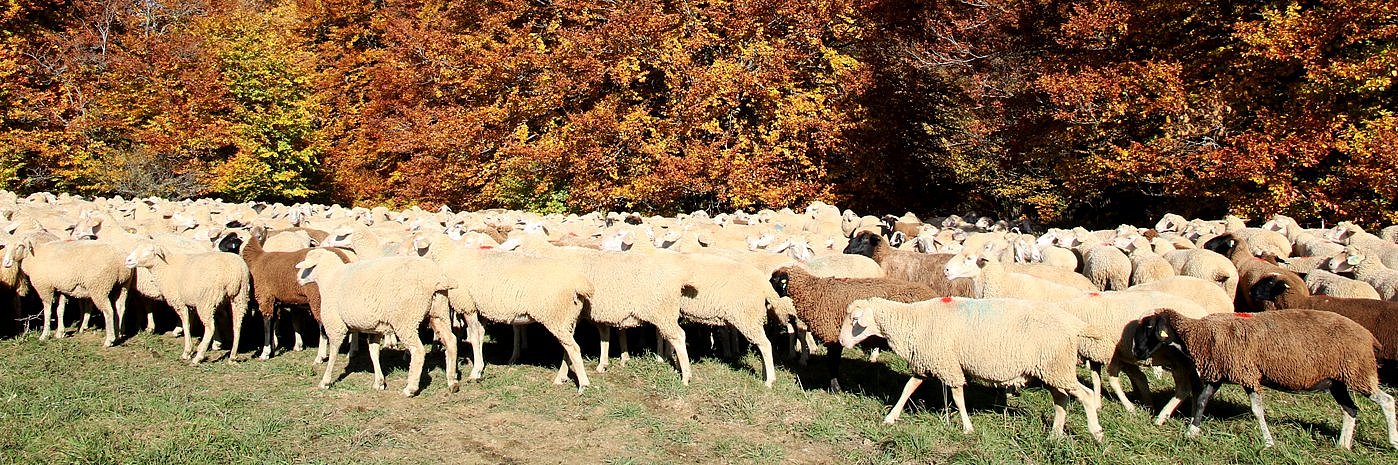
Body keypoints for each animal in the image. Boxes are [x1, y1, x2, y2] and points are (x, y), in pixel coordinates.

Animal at [124, 240, 253, 363]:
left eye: (149, 250)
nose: (128, 260)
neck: (165, 267)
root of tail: (233, 273)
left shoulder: (179, 302)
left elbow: (186, 324)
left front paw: (187, 351)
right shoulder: (196, 304)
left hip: (206, 300)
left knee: (210, 327)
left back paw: (199, 356)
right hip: (239, 296)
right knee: (237, 325)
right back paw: (232, 356)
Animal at [294, 248, 458, 396]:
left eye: (307, 268)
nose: (297, 279)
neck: (329, 277)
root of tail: (436, 279)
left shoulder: (335, 324)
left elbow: (334, 351)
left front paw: (325, 381)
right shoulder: (375, 328)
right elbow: (373, 352)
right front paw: (379, 382)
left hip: (405, 319)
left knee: (418, 350)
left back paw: (410, 388)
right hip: (439, 313)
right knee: (451, 341)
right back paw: (452, 381)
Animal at [833, 294, 1107, 441]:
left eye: (855, 320)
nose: (842, 342)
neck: (913, 321)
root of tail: (1073, 323)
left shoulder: (948, 364)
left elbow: (957, 397)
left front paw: (967, 427)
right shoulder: (926, 363)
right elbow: (907, 389)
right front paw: (891, 417)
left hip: (1057, 367)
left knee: (1085, 395)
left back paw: (1095, 432)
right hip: (1051, 369)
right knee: (1061, 400)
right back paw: (1055, 434)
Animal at [1135, 307, 1398, 449]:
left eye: (1149, 327)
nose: (1137, 353)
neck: (1199, 335)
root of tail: (1369, 337)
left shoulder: (1247, 372)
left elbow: (1257, 410)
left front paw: (1268, 442)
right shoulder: (1220, 372)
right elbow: (1201, 400)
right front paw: (1192, 432)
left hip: (1358, 372)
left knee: (1387, 401)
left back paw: (1393, 442)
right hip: (1339, 380)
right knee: (1351, 409)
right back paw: (1343, 445)